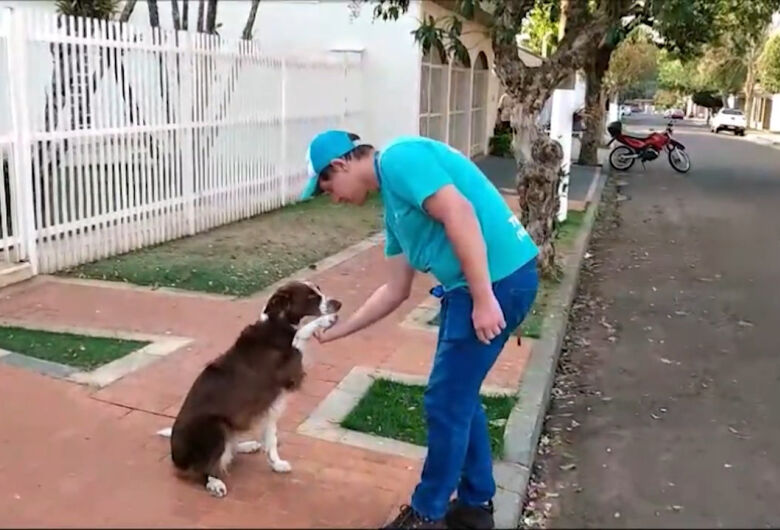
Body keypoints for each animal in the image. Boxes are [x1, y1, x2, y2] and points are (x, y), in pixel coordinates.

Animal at [157, 280, 340, 496]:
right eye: (311, 296)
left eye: (319, 289)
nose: (338, 304)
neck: (276, 324)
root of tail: (176, 456)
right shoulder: (290, 368)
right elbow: (300, 334)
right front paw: (326, 320)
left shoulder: (270, 408)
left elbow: (271, 441)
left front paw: (277, 464)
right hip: (215, 426)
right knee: (205, 467)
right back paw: (215, 482)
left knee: (229, 449)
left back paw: (247, 446)